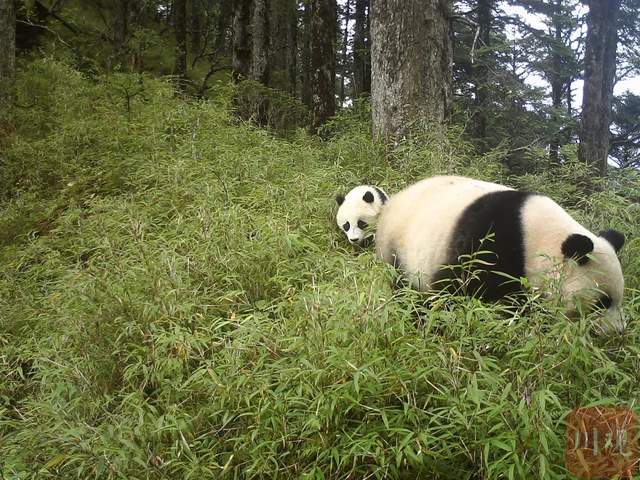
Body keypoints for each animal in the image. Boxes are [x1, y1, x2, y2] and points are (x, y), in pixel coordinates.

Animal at [370, 175, 624, 334]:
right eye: (603, 302)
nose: (618, 331)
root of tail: (394, 200)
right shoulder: (487, 244)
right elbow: (452, 292)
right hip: (398, 248)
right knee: (402, 286)